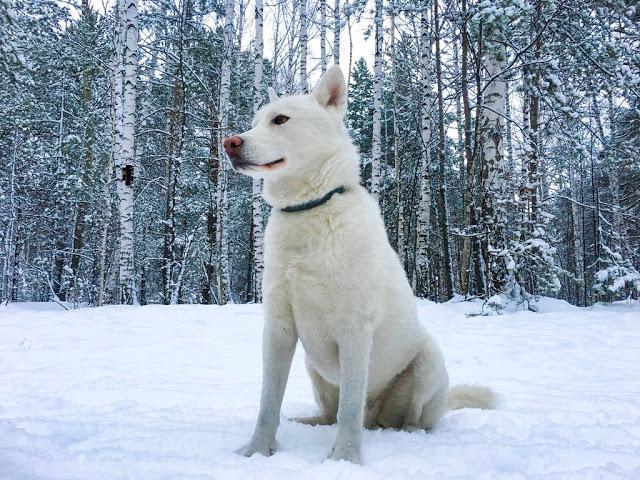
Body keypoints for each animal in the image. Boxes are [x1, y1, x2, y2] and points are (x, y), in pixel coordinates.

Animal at [225, 65, 496, 464]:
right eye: (254, 122)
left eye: (280, 119)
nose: (229, 142)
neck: (311, 209)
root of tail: (377, 418)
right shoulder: (278, 329)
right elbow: (268, 404)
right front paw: (257, 451)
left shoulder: (354, 331)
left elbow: (349, 409)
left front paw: (344, 459)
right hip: (313, 367)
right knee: (329, 414)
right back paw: (309, 421)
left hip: (428, 361)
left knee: (403, 417)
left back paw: (410, 431)